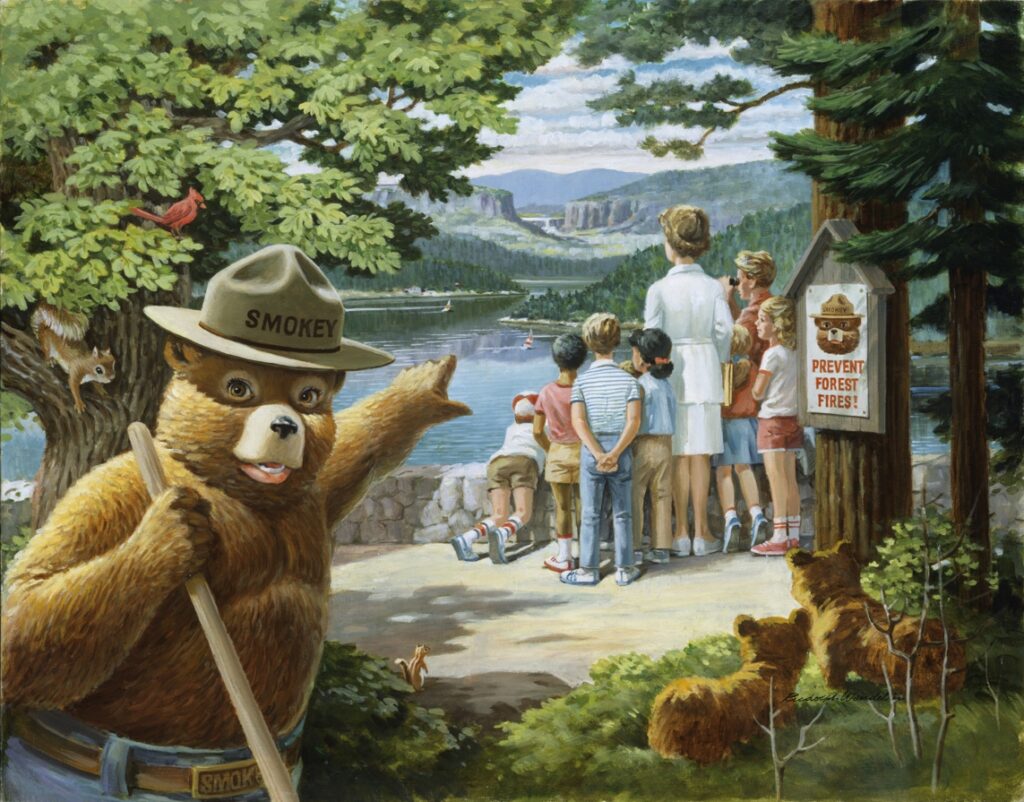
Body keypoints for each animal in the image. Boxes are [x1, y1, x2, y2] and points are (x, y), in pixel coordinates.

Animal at [0, 245, 468, 802]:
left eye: (309, 397)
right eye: (238, 388)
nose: (286, 424)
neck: (228, 485)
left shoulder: (313, 493)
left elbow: (357, 447)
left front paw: (423, 389)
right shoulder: (113, 491)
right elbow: (23, 618)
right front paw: (167, 535)